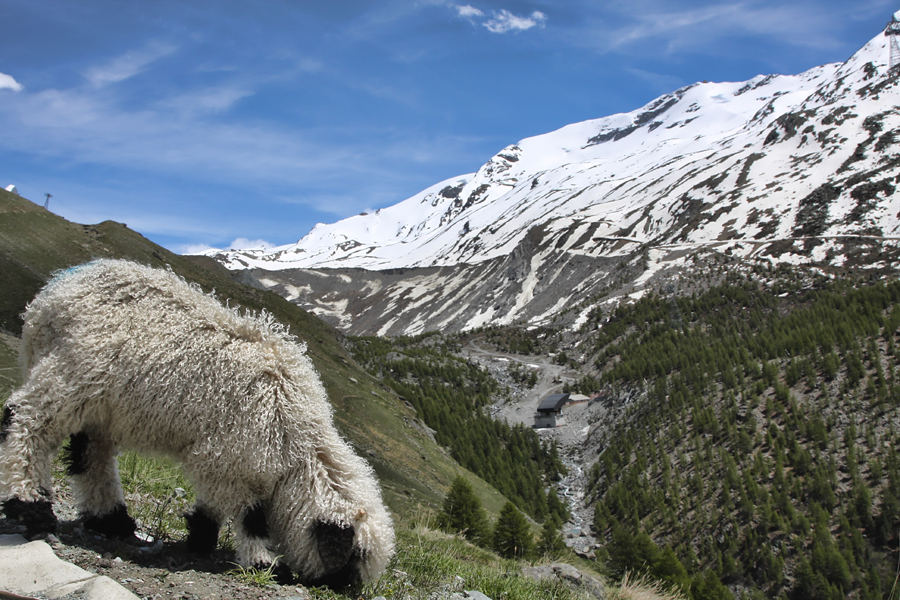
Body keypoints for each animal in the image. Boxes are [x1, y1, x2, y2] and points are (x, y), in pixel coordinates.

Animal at [0, 258, 394, 584]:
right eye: (353, 555)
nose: (347, 590)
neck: (296, 443)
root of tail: (58, 286)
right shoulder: (236, 455)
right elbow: (251, 517)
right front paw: (263, 562)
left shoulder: (222, 460)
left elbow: (213, 505)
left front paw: (201, 537)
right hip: (71, 373)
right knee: (25, 420)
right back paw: (29, 505)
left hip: (100, 406)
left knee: (90, 455)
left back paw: (112, 521)